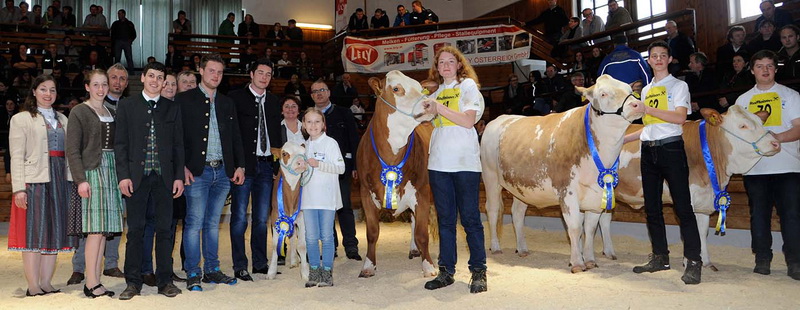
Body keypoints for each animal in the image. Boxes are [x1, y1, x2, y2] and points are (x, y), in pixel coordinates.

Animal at [266, 143, 310, 280]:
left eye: (304, 152)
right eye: (285, 153)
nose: (301, 162)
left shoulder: (302, 217)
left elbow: (302, 245)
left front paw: (305, 273)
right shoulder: (275, 216)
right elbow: (275, 245)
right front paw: (271, 272)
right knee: (292, 237)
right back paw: (294, 260)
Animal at [358, 71, 438, 278]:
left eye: (421, 88)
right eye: (395, 89)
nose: (429, 103)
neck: (391, 155)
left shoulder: (421, 192)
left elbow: (422, 233)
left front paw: (428, 266)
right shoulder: (365, 193)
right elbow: (372, 233)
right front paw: (368, 266)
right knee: (412, 219)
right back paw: (414, 249)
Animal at [482, 74, 644, 272]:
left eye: (630, 90)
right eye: (603, 93)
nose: (637, 104)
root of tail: (500, 118)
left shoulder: (595, 194)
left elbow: (589, 229)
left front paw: (590, 260)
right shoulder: (567, 192)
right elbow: (575, 228)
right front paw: (577, 263)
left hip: (521, 187)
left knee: (517, 213)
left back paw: (522, 249)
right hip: (490, 177)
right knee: (492, 210)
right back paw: (496, 247)